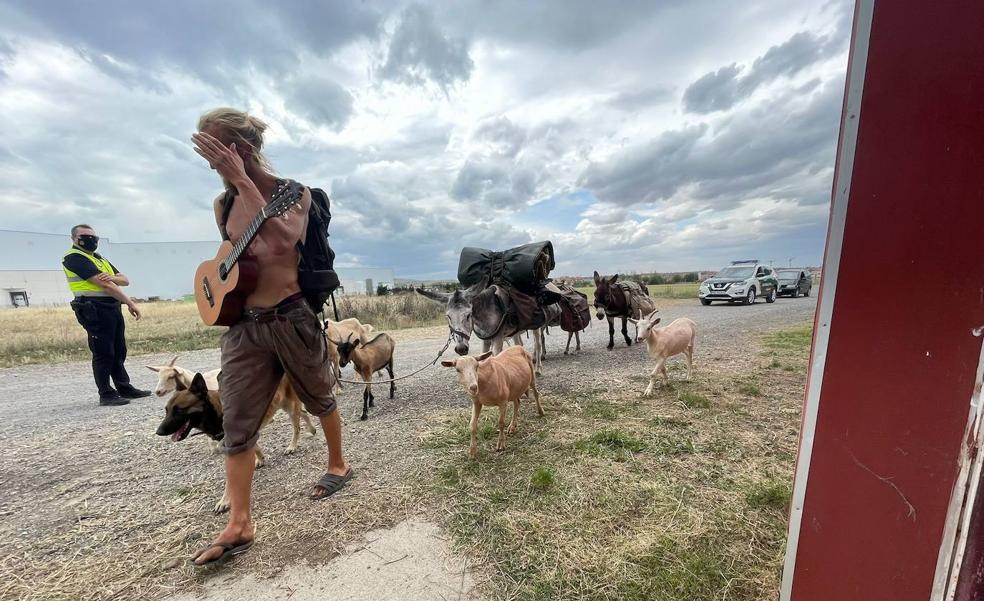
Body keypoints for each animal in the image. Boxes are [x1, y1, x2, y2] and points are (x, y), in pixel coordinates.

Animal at [157, 370, 316, 510]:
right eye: (167, 410)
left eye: (179, 410)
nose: (158, 432)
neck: (219, 412)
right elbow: (255, 446)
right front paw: (260, 459)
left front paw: (225, 501)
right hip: (284, 405)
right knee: (304, 413)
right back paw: (312, 429)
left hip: (289, 405)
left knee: (297, 427)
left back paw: (292, 446)